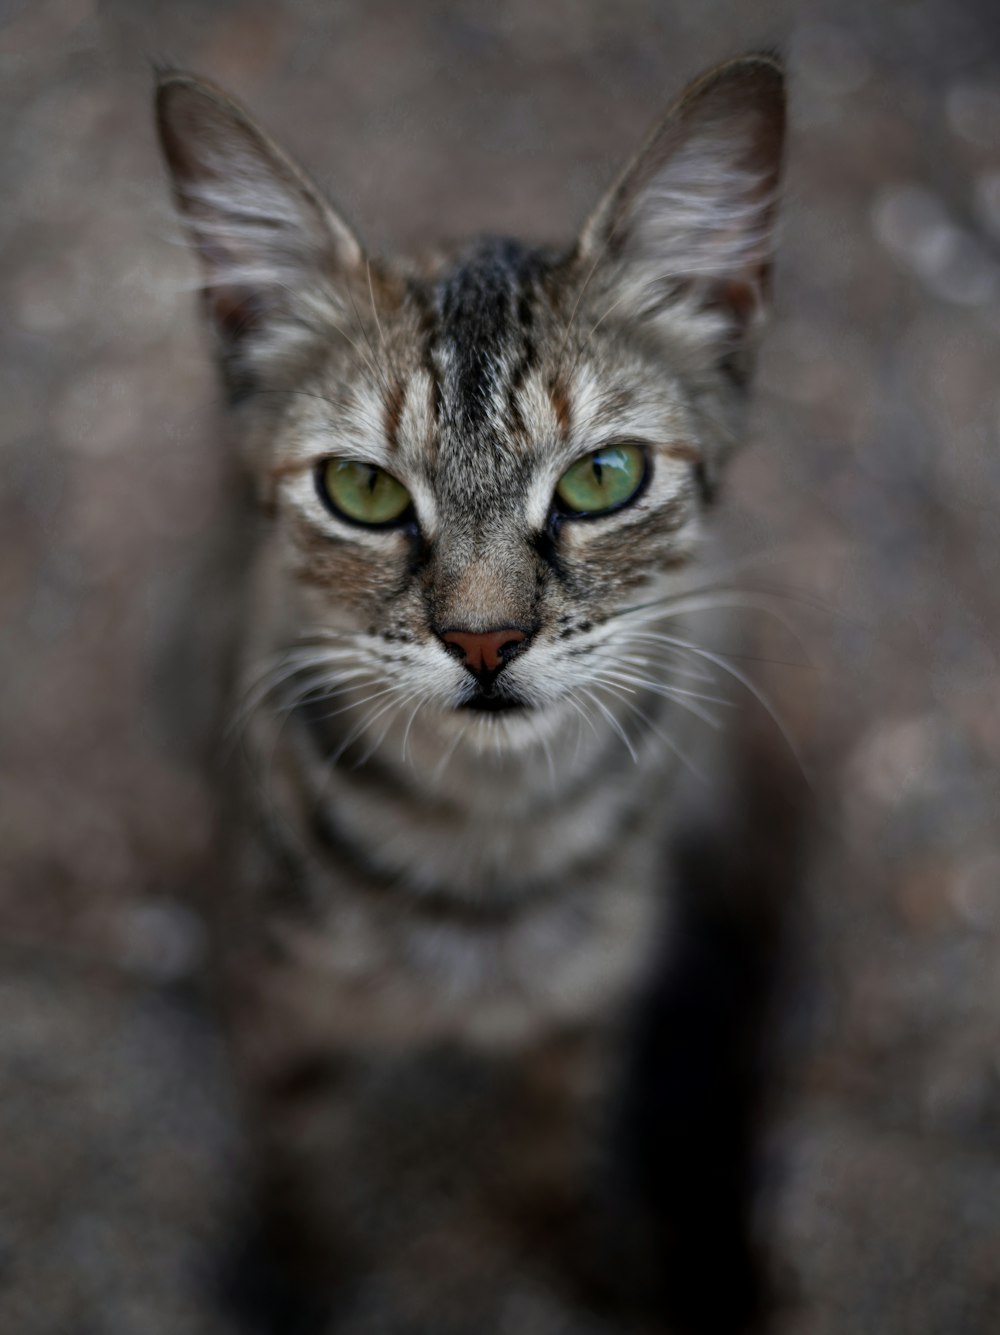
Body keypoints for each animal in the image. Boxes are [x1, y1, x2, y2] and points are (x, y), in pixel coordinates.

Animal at [156, 54, 790, 1335]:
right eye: (361, 490)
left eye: (604, 477)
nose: (485, 641)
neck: (486, 848)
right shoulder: (282, 1010)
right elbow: (296, 1168)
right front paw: (294, 1278)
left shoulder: (587, 1004)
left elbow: (554, 1147)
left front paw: (581, 1254)